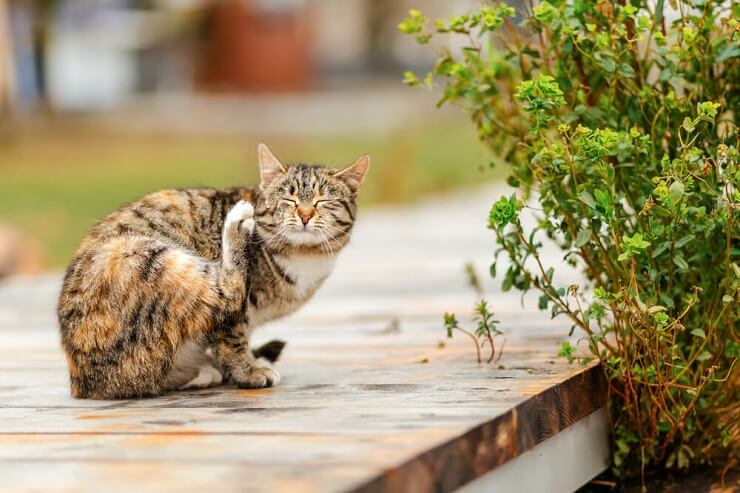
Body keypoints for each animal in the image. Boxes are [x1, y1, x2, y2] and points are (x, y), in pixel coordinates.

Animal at [57, 144, 370, 398]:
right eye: (289, 200)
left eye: (322, 201)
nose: (305, 215)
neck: (304, 256)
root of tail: (82, 383)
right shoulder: (233, 318)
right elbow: (232, 338)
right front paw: (248, 372)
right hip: (145, 257)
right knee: (226, 290)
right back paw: (235, 225)